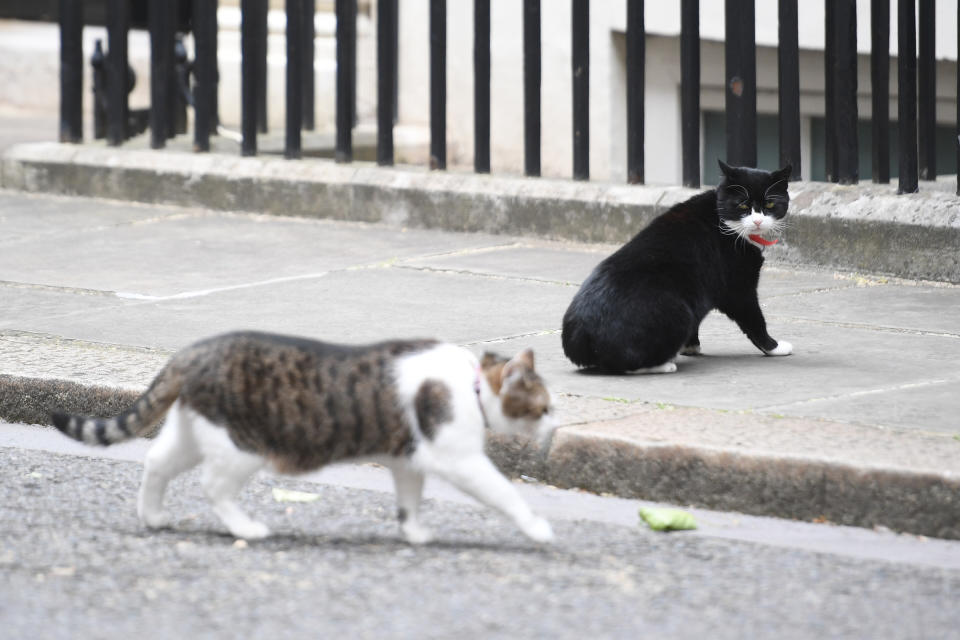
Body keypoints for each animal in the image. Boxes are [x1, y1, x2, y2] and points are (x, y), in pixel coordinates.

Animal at [52, 330, 560, 544]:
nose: (557, 425)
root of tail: (192, 352)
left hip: (195, 433)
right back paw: (246, 529)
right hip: (242, 445)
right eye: (545, 407)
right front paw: (538, 528)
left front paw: (414, 533)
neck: (471, 383)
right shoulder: (459, 460)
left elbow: (409, 501)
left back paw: (154, 517)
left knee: (156, 461)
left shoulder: (408, 461)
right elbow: (505, 493)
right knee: (214, 487)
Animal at [564, 161, 796, 376]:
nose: (757, 221)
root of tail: (580, 335)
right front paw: (774, 347)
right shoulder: (738, 287)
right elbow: (754, 319)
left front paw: (690, 346)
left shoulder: (700, 291)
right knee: (626, 364)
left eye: (770, 203)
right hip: (678, 312)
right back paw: (663, 365)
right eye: (742, 205)